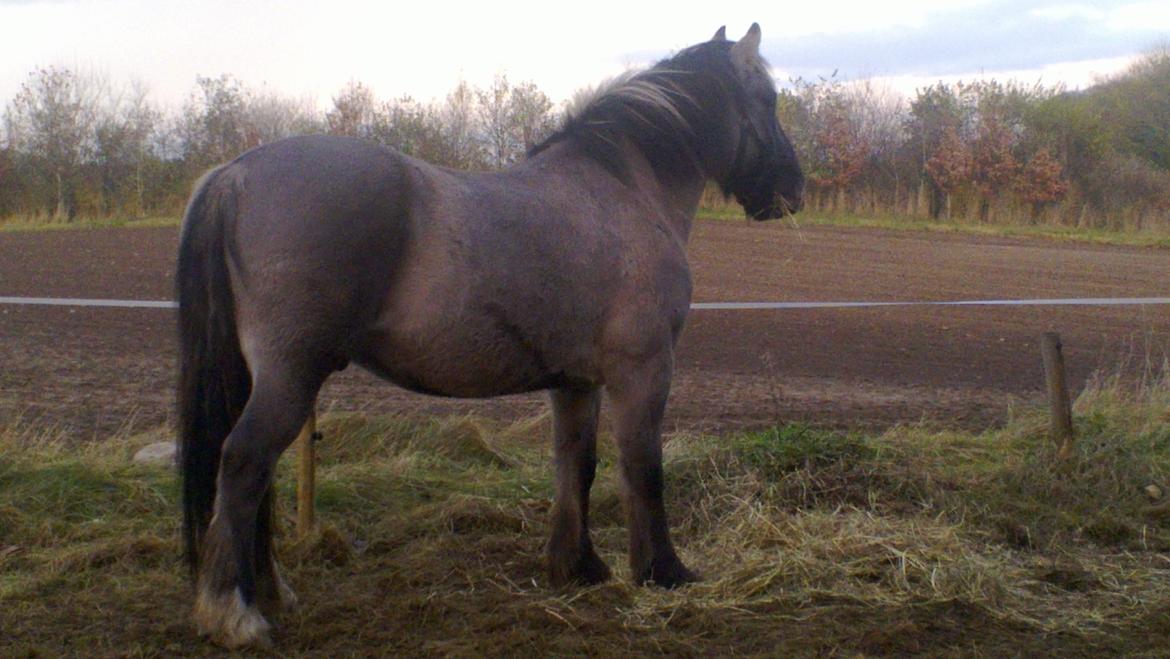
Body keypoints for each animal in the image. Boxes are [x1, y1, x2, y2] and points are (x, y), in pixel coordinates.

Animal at [177, 23, 804, 646]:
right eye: (767, 100)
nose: (793, 188)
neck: (620, 189)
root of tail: (234, 173)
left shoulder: (575, 382)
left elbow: (576, 464)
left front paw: (578, 566)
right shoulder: (643, 371)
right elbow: (643, 469)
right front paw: (664, 571)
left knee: (254, 478)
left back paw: (270, 594)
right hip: (290, 377)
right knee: (243, 464)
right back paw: (237, 613)